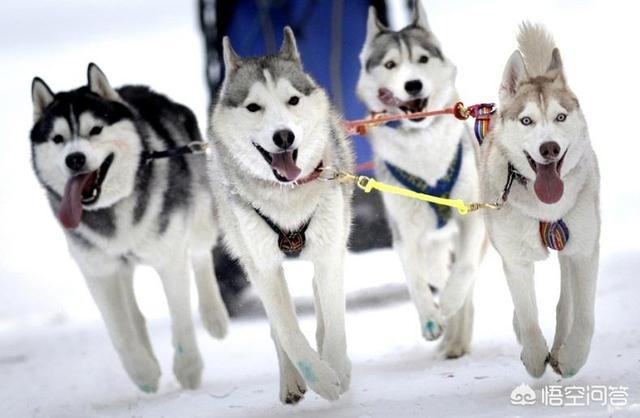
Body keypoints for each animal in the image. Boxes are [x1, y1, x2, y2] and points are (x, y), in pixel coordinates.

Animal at [30, 64, 230, 392]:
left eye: (95, 130)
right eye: (58, 138)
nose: (75, 159)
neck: (112, 209)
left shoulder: (169, 258)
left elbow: (181, 320)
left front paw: (188, 369)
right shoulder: (98, 271)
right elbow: (120, 331)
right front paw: (143, 372)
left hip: (201, 212)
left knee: (201, 256)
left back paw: (215, 317)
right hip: (118, 266)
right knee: (132, 311)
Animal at [211, 27, 356, 404]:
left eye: (292, 100)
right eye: (253, 107)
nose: (284, 136)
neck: (288, 197)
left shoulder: (329, 252)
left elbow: (335, 319)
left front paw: (337, 367)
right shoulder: (264, 267)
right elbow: (287, 331)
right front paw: (320, 378)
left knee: (321, 294)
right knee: (279, 327)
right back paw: (291, 380)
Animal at [356, 3, 484, 356]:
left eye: (423, 59)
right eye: (390, 64)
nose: (413, 85)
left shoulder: (472, 217)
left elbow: (464, 269)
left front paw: (450, 302)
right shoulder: (406, 235)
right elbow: (416, 281)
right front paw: (430, 320)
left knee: (464, 279)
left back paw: (456, 337)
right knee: (436, 273)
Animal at [482, 23, 604, 378]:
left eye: (560, 117)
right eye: (527, 121)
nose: (549, 148)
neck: (544, 207)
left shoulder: (585, 250)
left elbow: (585, 315)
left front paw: (573, 356)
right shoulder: (515, 259)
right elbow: (527, 313)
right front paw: (535, 354)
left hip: (571, 243)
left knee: (566, 302)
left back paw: (562, 345)